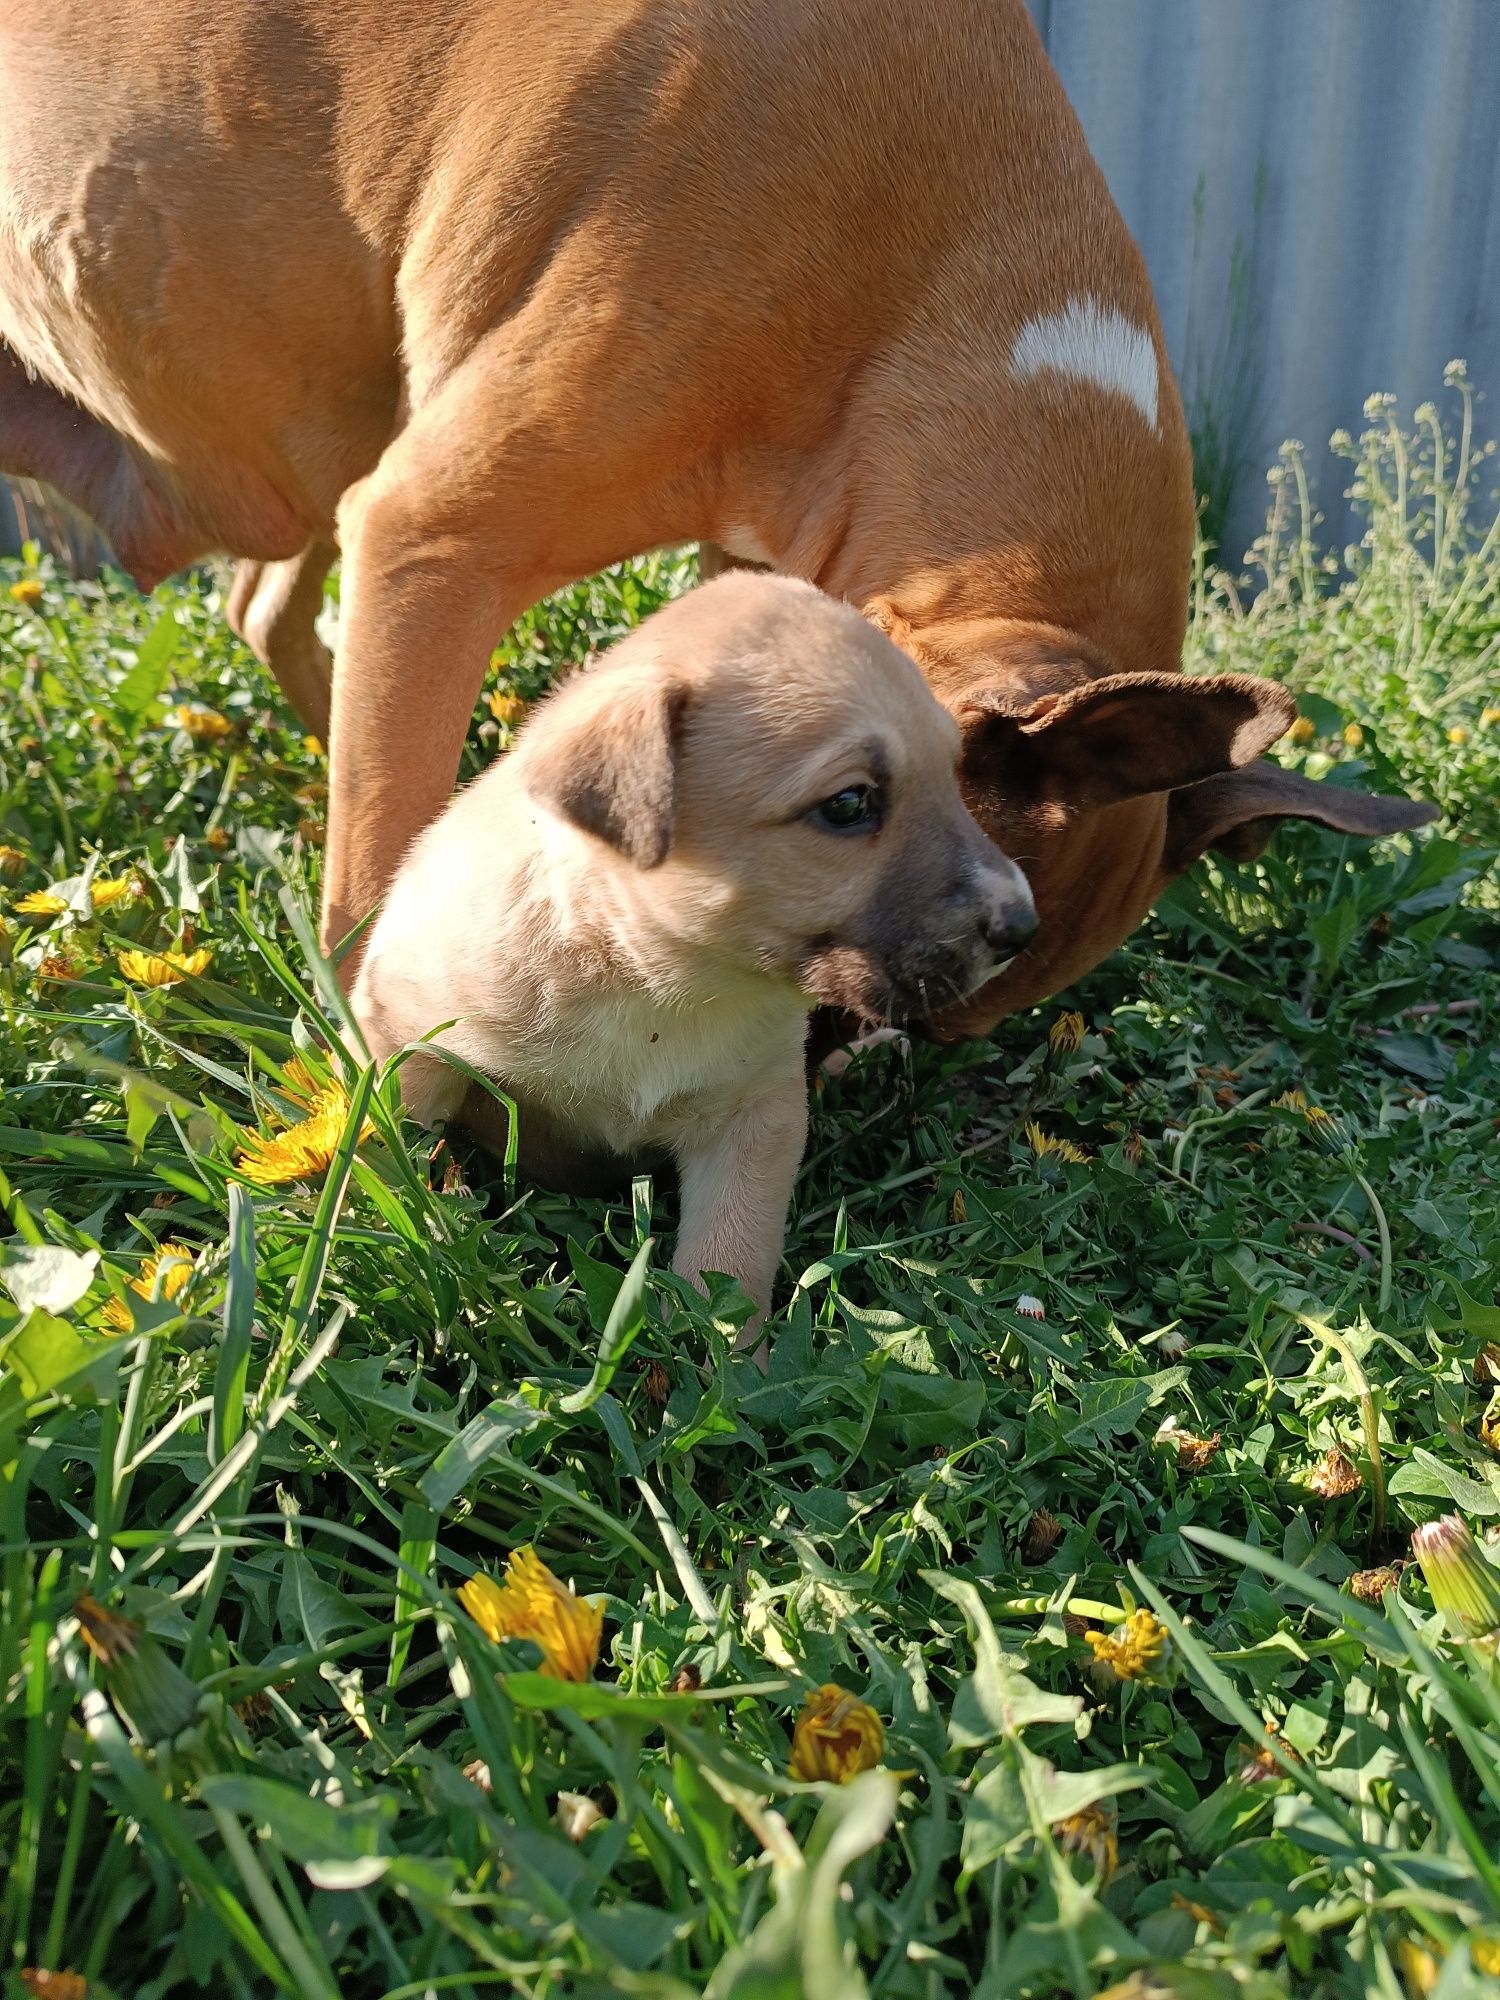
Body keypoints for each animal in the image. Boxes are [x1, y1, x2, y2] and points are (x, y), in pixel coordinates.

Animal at [352, 576, 1032, 1328]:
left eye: (952, 775)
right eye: (849, 803)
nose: (1023, 926)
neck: (649, 977)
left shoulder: (756, 1116)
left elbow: (729, 1260)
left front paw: (723, 1351)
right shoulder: (409, 1038)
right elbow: (385, 1147)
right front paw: (384, 1232)